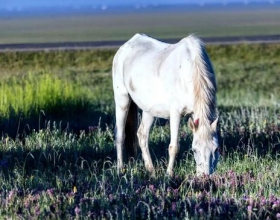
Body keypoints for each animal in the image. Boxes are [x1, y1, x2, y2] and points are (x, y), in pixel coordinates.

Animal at [112, 33, 220, 176]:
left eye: (216, 149)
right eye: (195, 150)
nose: (205, 176)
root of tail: (125, 46)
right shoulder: (175, 113)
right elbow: (174, 147)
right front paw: (169, 174)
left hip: (149, 110)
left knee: (142, 135)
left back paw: (151, 171)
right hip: (122, 99)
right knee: (120, 135)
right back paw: (120, 169)